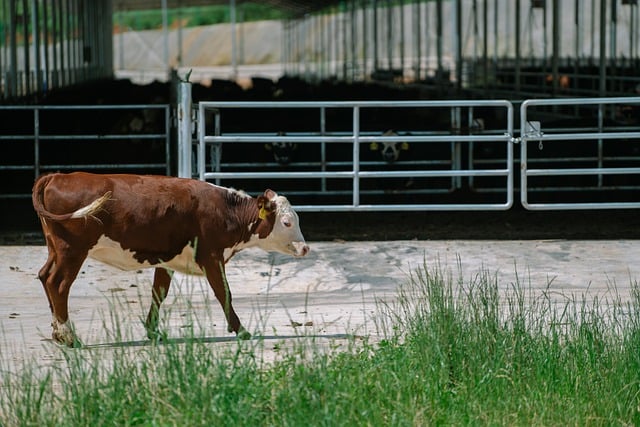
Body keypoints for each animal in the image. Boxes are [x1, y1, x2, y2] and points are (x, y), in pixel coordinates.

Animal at [31, 172, 310, 347]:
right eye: (287, 222)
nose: (305, 248)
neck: (226, 210)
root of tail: (57, 176)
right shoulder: (211, 257)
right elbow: (224, 293)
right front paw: (241, 330)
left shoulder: (167, 261)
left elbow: (159, 294)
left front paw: (153, 331)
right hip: (72, 251)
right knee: (58, 284)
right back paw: (69, 337)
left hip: (56, 249)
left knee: (45, 276)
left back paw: (58, 333)